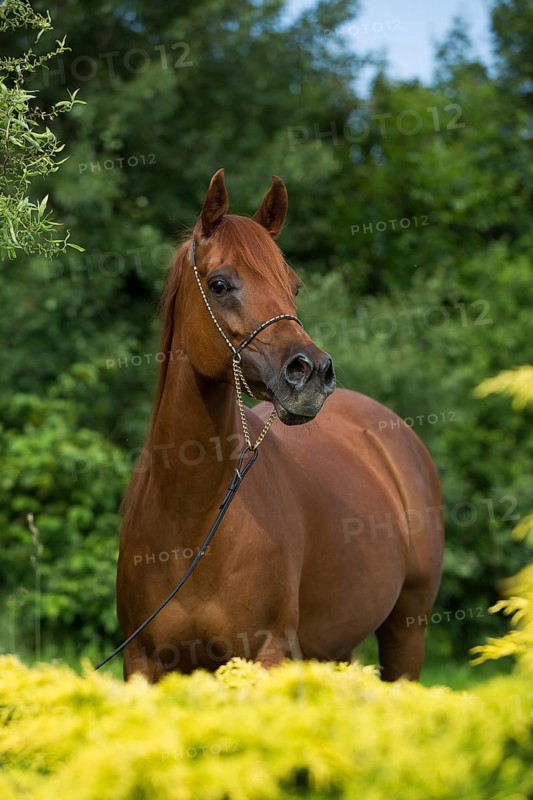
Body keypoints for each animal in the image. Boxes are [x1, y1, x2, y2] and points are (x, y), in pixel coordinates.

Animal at [116, 169, 444, 683]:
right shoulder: (142, 662)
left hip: (405, 632)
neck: (190, 519)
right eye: (220, 284)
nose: (312, 372)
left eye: (294, 286)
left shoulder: (266, 653)